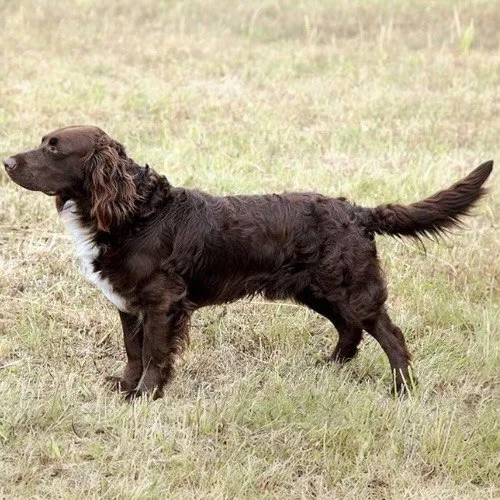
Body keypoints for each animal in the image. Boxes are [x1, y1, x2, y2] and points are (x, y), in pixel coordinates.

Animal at [4, 127, 492, 400]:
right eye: (43, 141)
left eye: (54, 148)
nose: (7, 160)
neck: (137, 212)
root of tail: (355, 212)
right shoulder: (128, 303)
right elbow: (133, 350)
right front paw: (125, 386)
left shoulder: (162, 302)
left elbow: (156, 353)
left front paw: (145, 396)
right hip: (319, 291)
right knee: (350, 331)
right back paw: (330, 367)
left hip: (351, 289)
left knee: (392, 337)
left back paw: (402, 391)